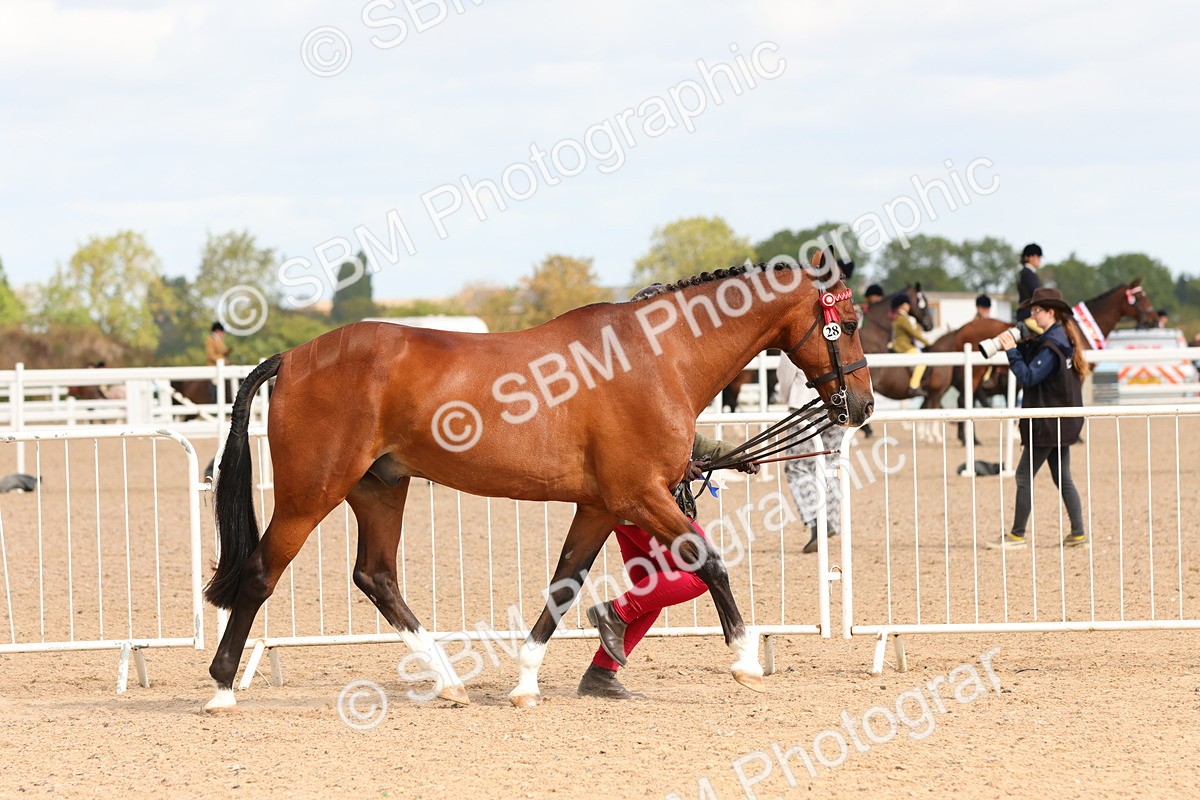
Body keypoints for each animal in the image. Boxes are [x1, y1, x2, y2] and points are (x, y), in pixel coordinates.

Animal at [201, 262, 874, 711]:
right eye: (846, 323)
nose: (862, 405)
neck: (660, 357)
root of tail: (292, 357)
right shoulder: (640, 496)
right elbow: (708, 561)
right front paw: (745, 660)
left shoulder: (601, 505)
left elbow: (565, 585)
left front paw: (526, 681)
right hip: (309, 494)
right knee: (261, 573)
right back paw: (222, 687)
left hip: (380, 488)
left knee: (377, 577)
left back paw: (449, 682)